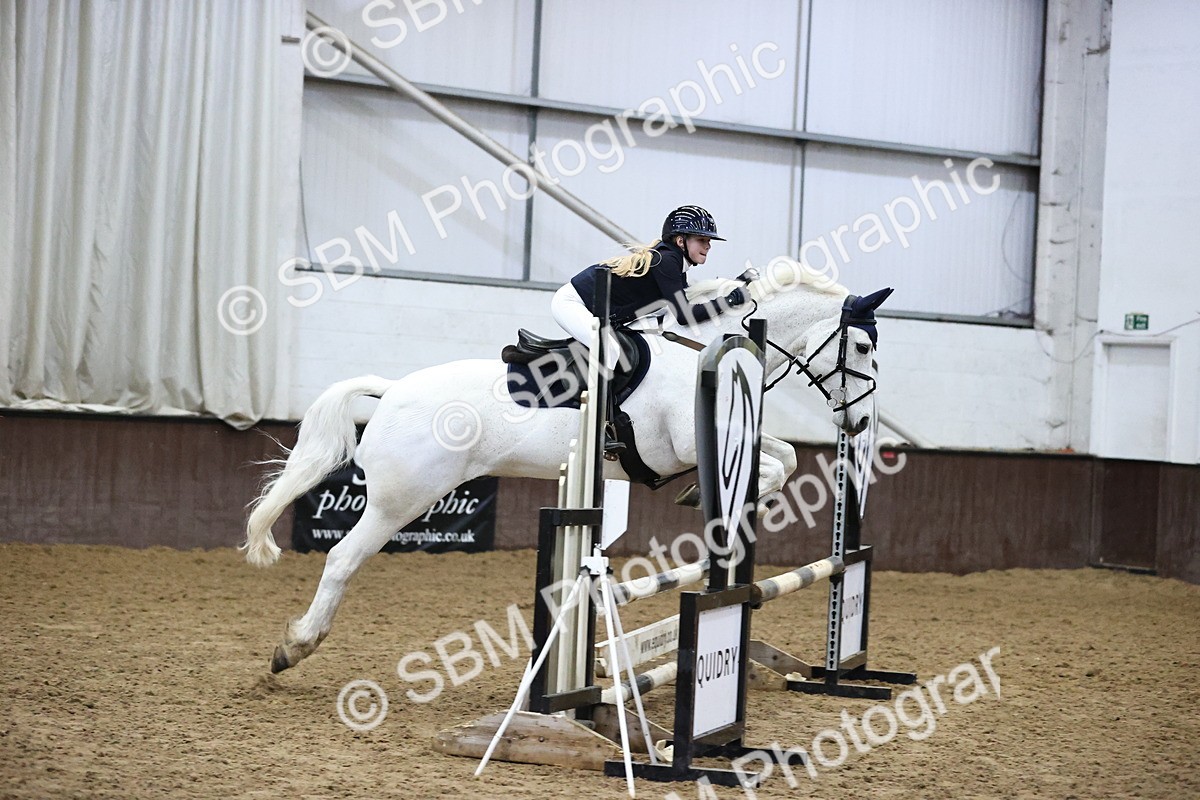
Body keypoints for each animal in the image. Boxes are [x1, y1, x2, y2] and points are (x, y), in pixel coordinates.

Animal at [242, 264, 892, 673]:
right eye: (862, 348)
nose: (861, 422)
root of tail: (394, 389)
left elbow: (785, 456)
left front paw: (723, 500)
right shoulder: (686, 442)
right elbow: (772, 460)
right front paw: (716, 499)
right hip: (398, 501)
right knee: (341, 559)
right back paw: (296, 646)